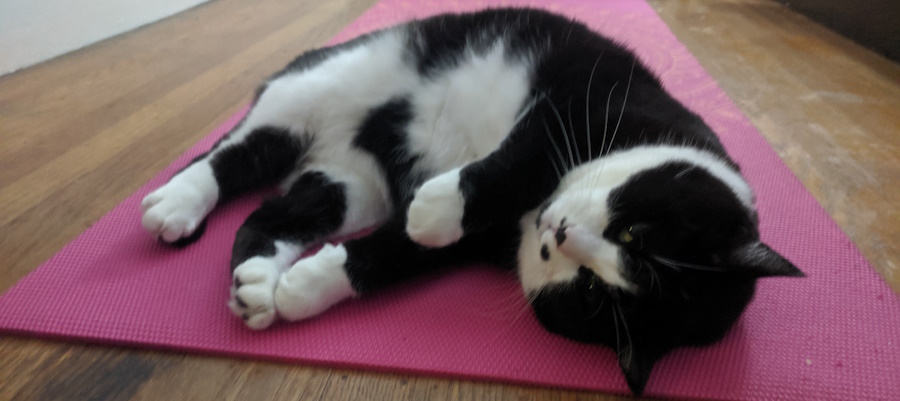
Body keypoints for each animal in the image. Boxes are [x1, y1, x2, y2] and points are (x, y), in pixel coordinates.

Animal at [139, 7, 800, 396]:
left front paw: (311, 287)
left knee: (275, 209)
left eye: (591, 292)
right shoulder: (590, 93)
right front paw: (439, 206)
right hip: (325, 82)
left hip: (353, 184)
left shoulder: (479, 242)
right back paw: (177, 200)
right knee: (235, 152)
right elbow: (525, 156)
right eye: (636, 234)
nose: (561, 234)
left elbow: (397, 254)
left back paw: (256, 280)